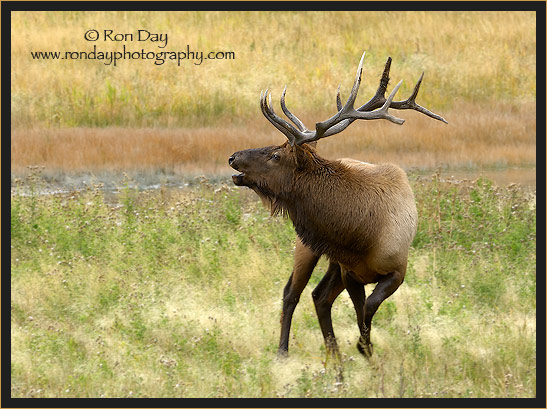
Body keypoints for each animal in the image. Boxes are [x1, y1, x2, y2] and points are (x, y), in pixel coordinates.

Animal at [229, 53, 448, 364]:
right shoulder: (350, 272)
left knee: (318, 296)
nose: (233, 157)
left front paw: (364, 348)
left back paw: (333, 351)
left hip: (328, 258)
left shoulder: (398, 270)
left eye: (275, 155)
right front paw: (365, 347)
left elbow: (367, 308)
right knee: (293, 293)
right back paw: (284, 351)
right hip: (306, 246)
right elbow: (361, 311)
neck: (364, 237)